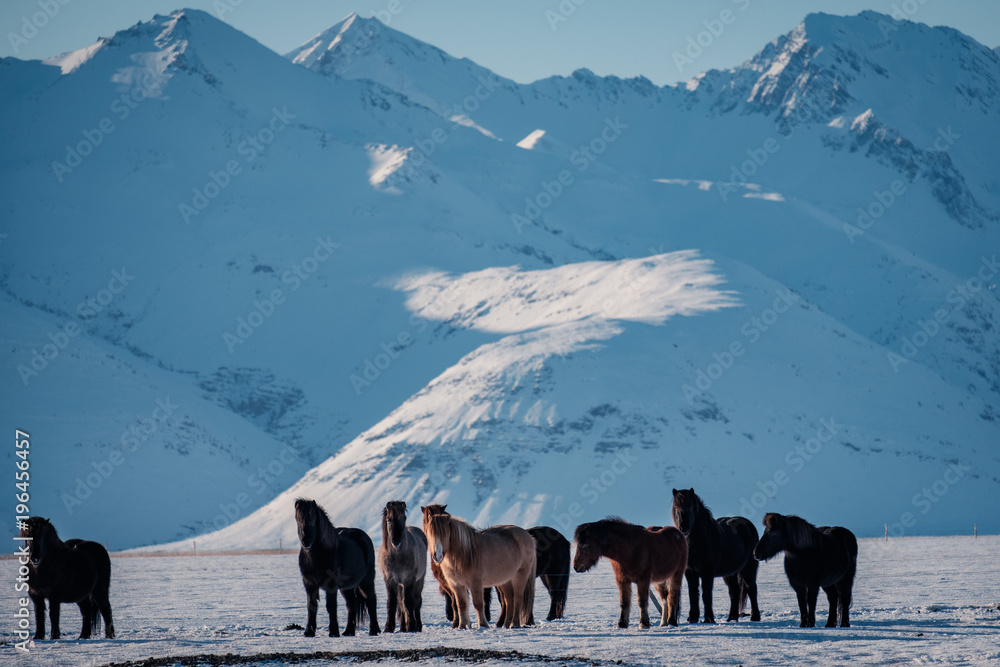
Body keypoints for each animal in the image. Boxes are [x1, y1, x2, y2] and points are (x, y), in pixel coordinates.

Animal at [294, 498, 380, 636]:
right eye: (298, 519)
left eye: (313, 517)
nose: (306, 540)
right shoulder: (309, 583)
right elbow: (311, 606)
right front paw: (309, 632)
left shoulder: (331, 584)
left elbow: (331, 606)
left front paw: (334, 631)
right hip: (347, 587)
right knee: (351, 604)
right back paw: (349, 631)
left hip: (366, 581)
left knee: (371, 600)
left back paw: (374, 630)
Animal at [379, 501, 427, 632]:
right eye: (389, 520)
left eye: (404, 518)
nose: (396, 541)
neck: (397, 557)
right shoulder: (390, 580)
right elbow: (392, 602)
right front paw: (388, 627)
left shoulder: (409, 580)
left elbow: (409, 602)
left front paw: (411, 626)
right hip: (400, 585)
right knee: (401, 603)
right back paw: (402, 626)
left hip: (419, 581)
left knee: (417, 601)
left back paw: (418, 625)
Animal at [671, 488, 761, 623]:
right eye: (676, 509)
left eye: (690, 507)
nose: (683, 527)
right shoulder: (690, 573)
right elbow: (693, 594)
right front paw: (693, 618)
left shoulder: (707, 573)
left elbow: (706, 594)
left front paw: (709, 618)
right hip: (730, 573)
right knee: (734, 591)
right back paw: (732, 618)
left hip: (749, 568)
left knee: (751, 588)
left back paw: (755, 617)